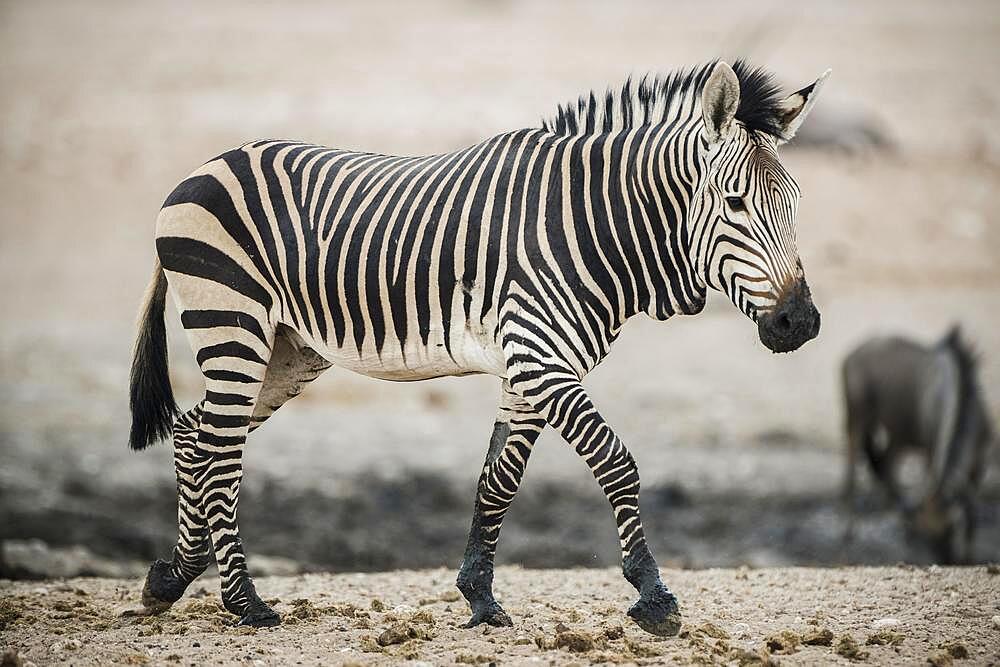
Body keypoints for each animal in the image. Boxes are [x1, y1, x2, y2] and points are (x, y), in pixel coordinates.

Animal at [131, 60, 828, 636]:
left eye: (795, 203)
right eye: (734, 203)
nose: (799, 323)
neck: (595, 227)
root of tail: (203, 167)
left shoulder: (529, 367)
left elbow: (498, 480)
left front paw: (480, 597)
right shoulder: (542, 359)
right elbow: (616, 462)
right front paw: (654, 596)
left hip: (288, 346)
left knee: (196, 433)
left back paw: (173, 575)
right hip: (233, 322)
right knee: (221, 448)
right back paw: (244, 602)